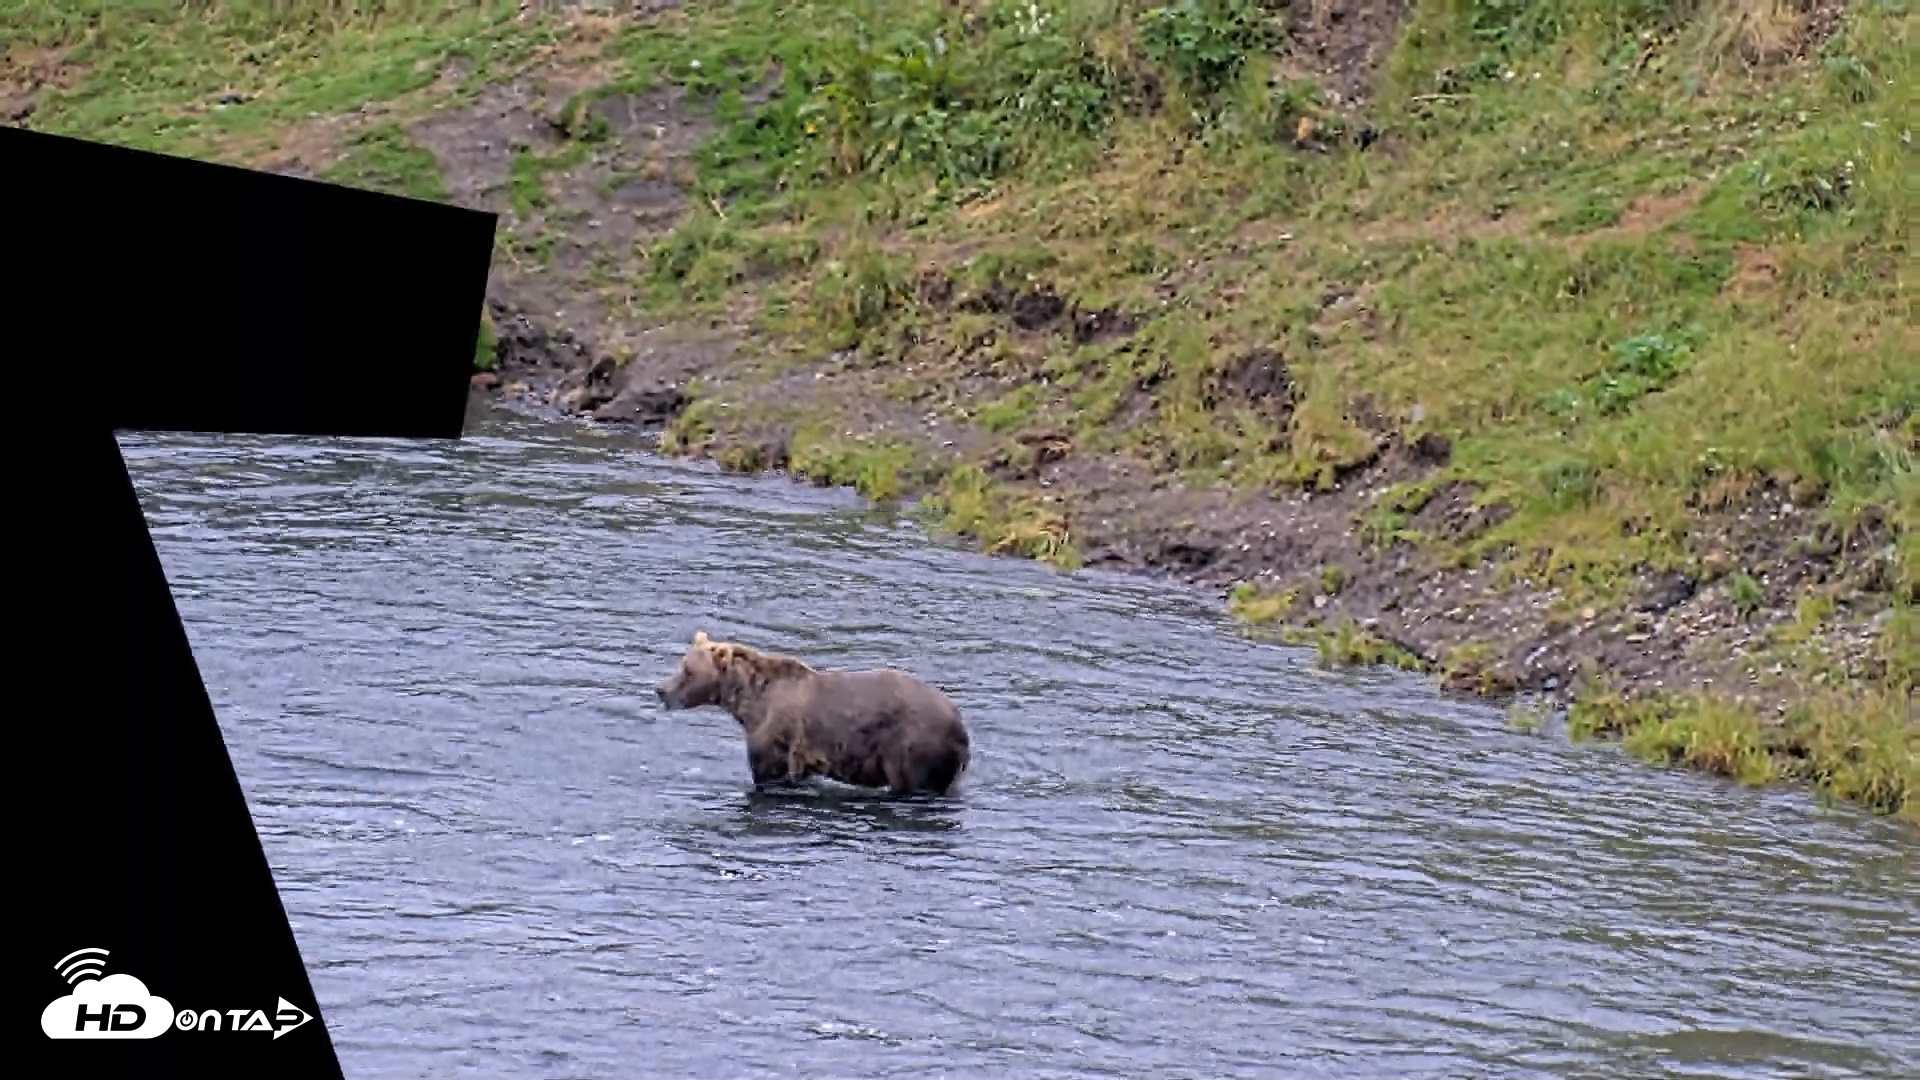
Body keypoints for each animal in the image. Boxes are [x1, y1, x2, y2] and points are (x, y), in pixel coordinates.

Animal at [655, 631, 972, 797]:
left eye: (687, 671)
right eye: (681, 664)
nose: (660, 690)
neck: (749, 700)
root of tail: (961, 726)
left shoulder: (776, 734)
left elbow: (769, 773)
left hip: (912, 746)